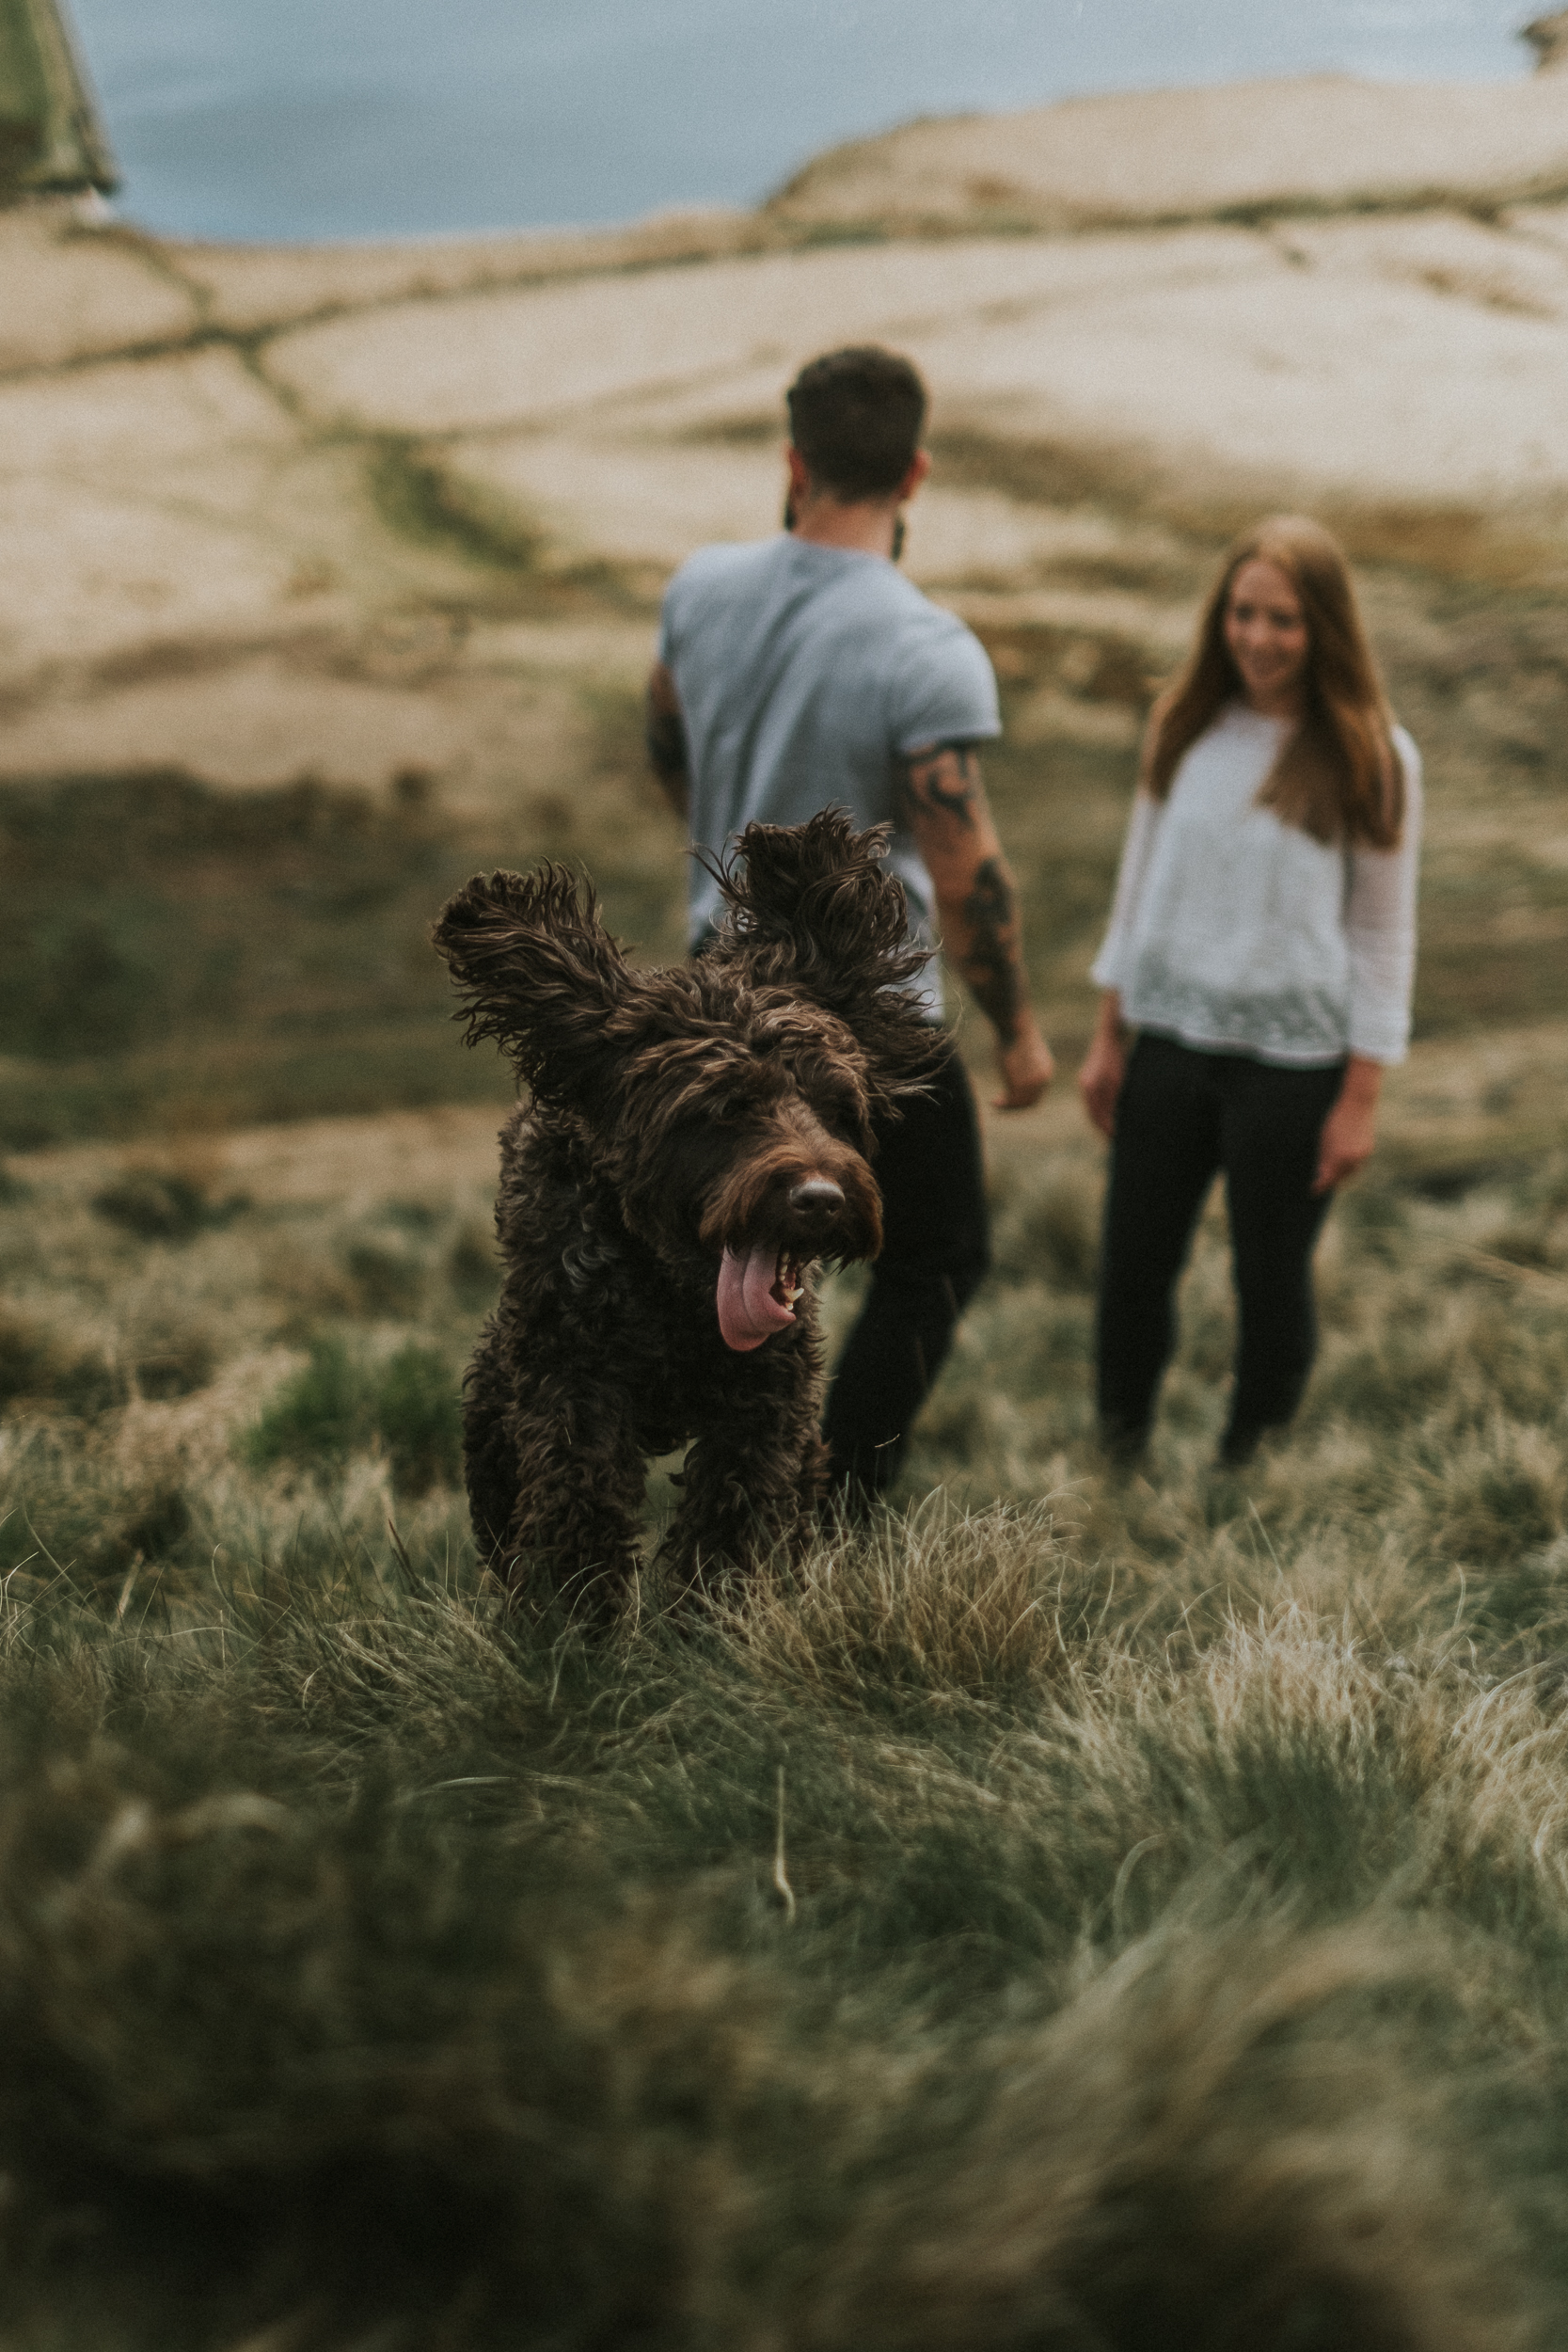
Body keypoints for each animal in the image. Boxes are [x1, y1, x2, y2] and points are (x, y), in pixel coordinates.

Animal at [432, 804, 930, 1618]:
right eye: (722, 1107)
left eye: (837, 1107)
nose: (821, 1200)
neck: (673, 1292)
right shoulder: (574, 1383)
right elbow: (578, 1502)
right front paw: (571, 1620)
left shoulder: (765, 1403)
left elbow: (734, 1516)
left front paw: (711, 1617)